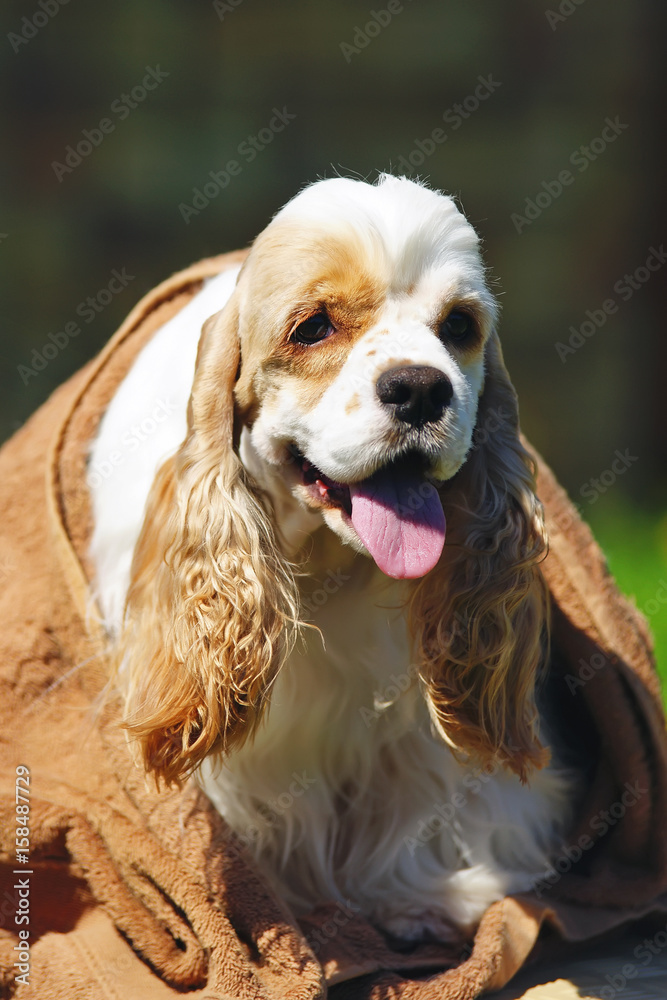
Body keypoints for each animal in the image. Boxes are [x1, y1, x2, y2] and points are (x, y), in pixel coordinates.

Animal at [91, 174, 576, 944]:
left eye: (459, 326)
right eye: (312, 327)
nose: (420, 387)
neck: (322, 559)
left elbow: (425, 788)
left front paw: (417, 897)